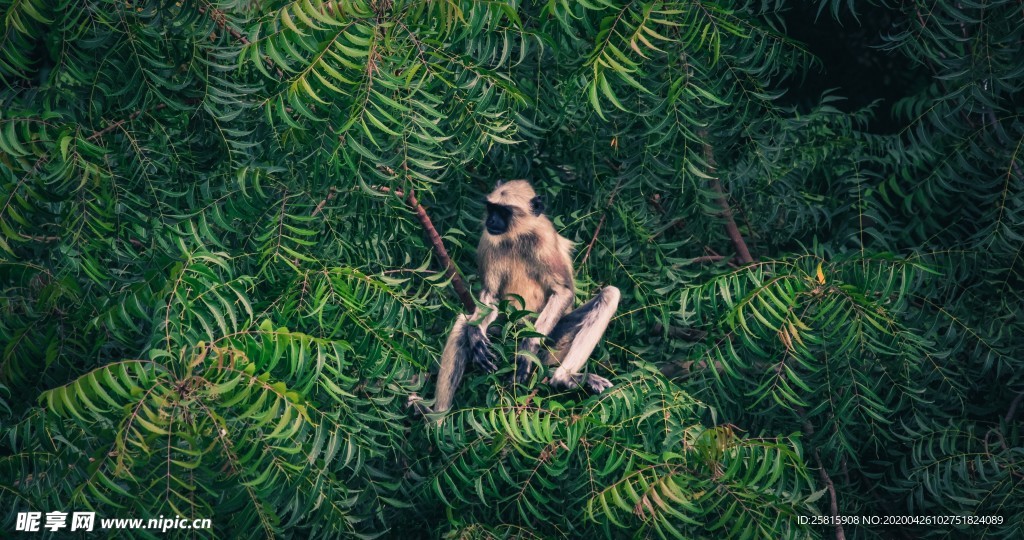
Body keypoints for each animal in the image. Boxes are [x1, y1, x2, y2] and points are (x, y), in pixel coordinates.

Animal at [421, 178, 618, 413]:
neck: (516, 236)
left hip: (554, 341)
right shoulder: (488, 238)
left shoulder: (543, 239)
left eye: (504, 212)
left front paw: (527, 349)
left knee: (610, 294)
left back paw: (565, 379)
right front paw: (476, 337)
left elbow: (563, 291)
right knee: (463, 323)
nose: (491, 220)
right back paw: (438, 418)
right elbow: (490, 295)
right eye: (492, 208)